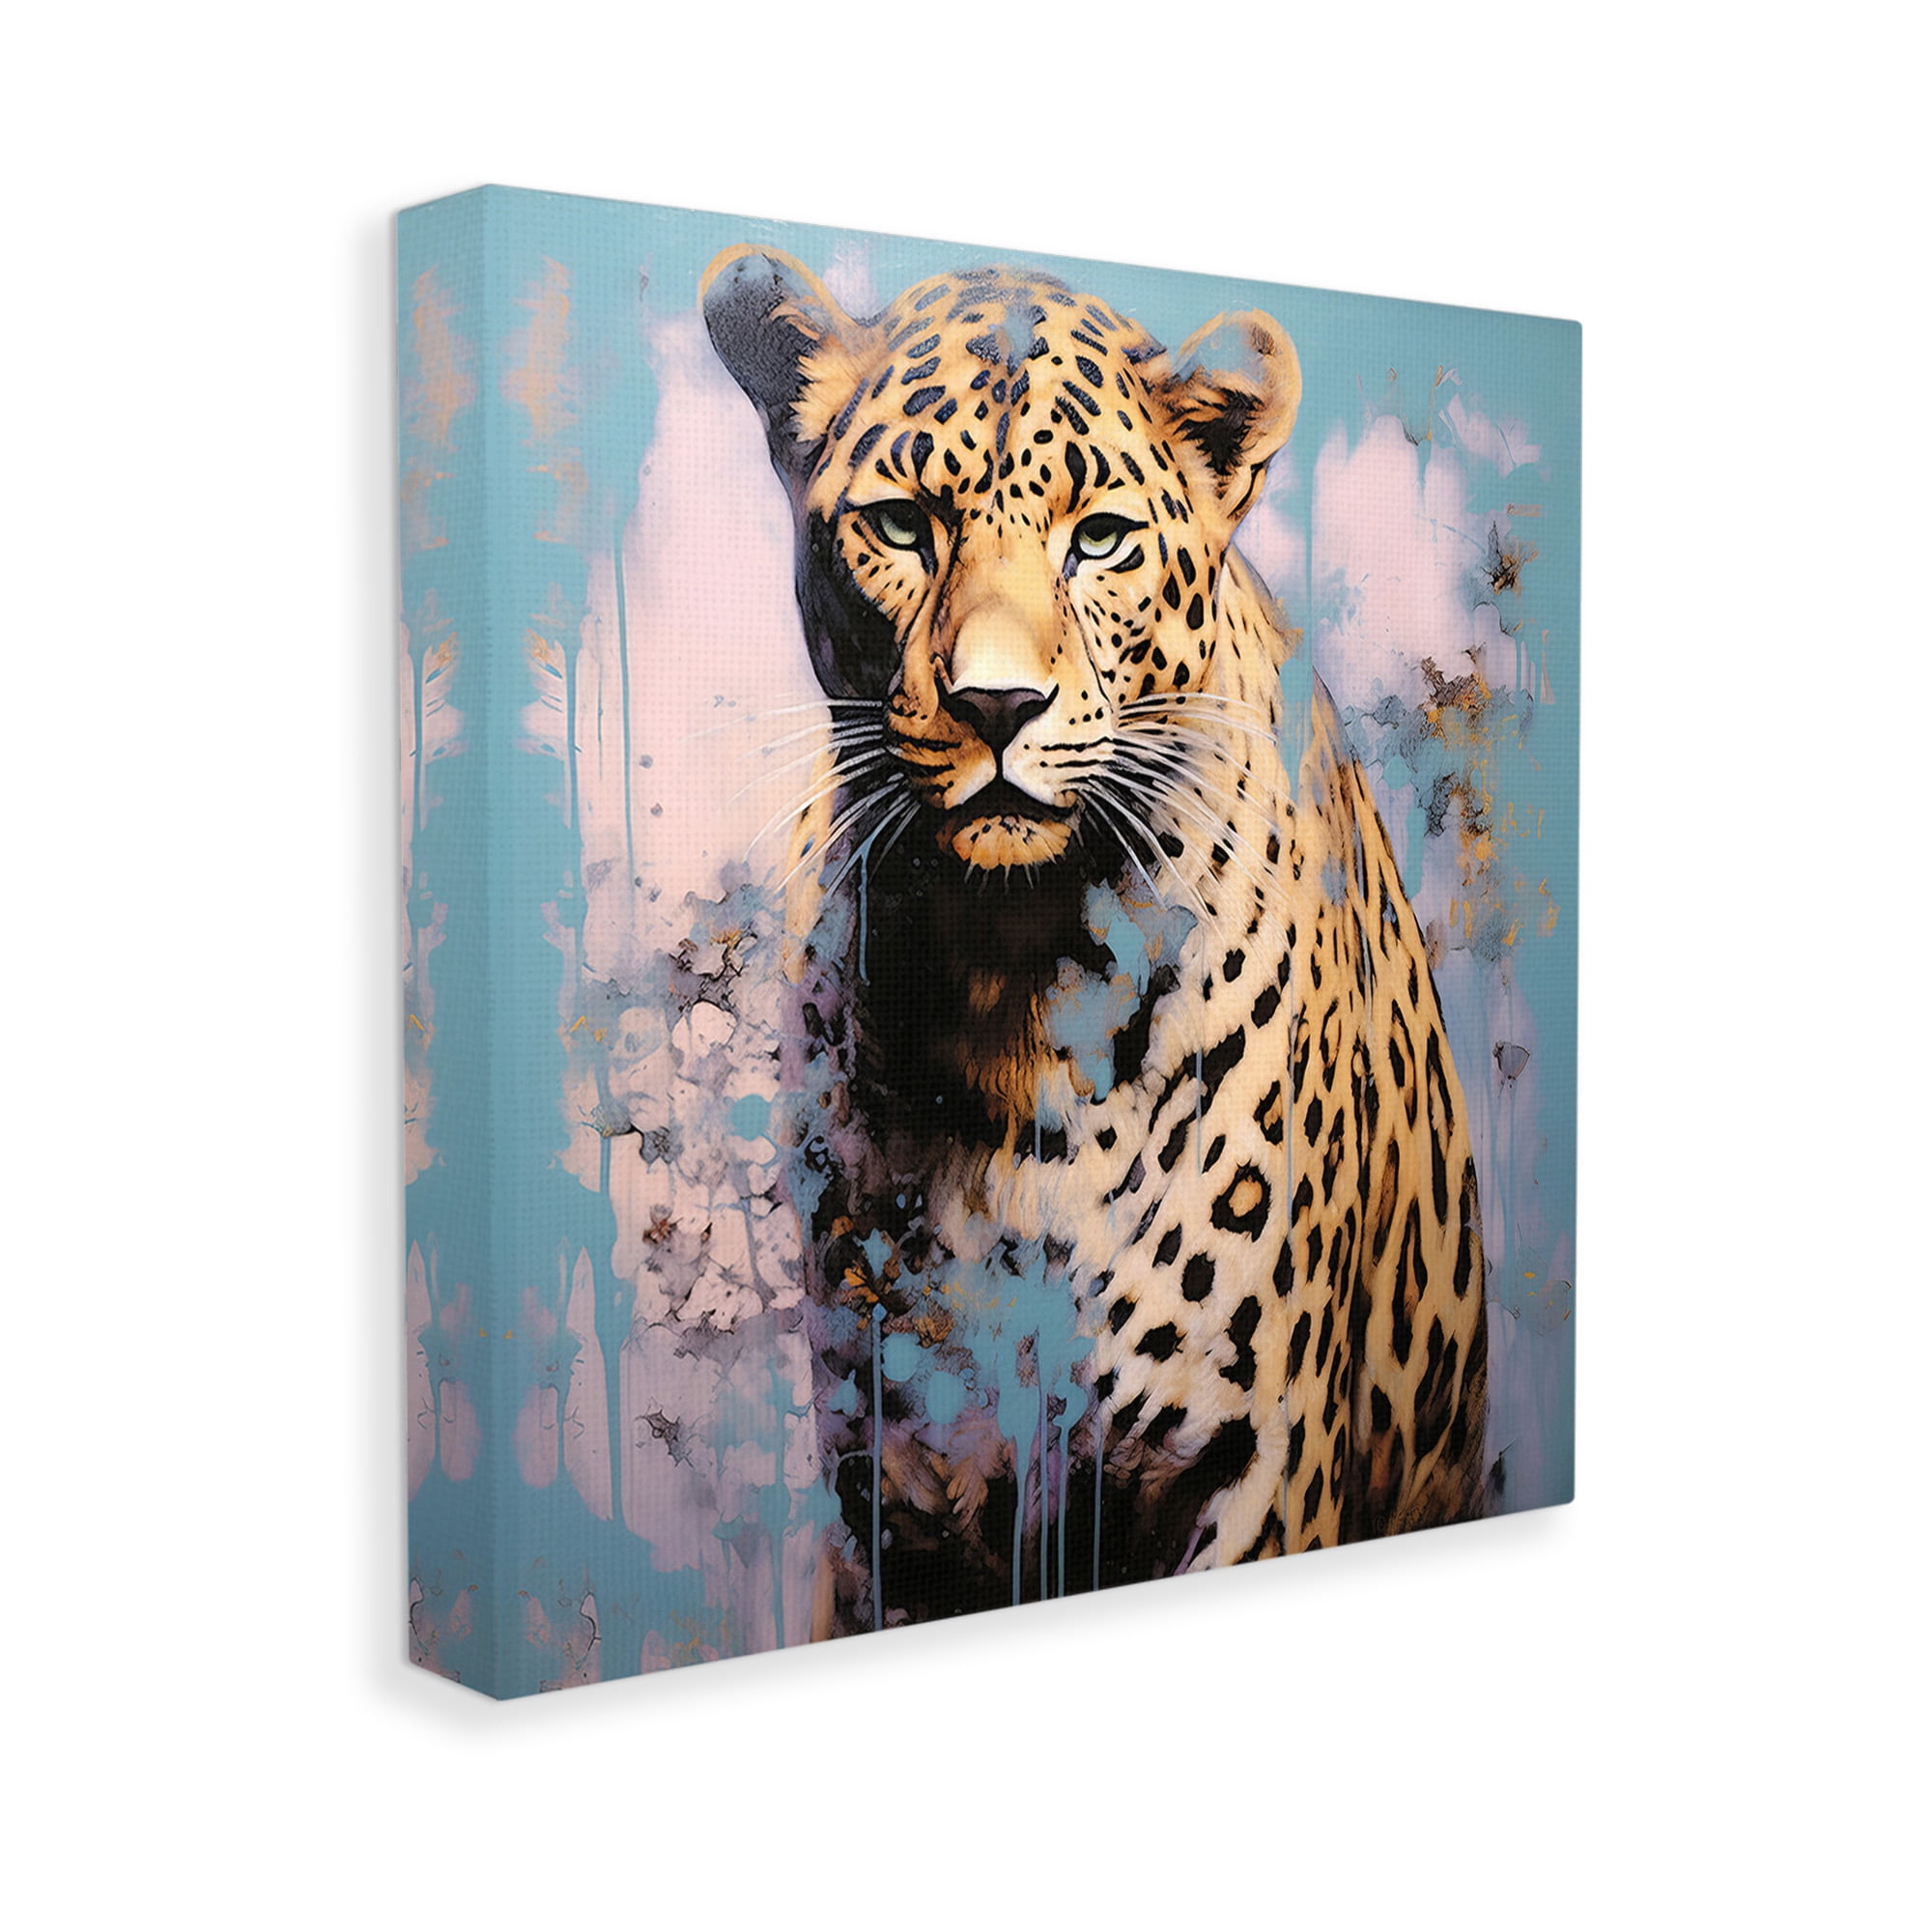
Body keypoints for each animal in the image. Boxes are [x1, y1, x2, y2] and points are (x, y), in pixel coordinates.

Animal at [702, 244, 1491, 1638]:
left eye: (1101, 539)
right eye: (902, 525)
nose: (996, 704)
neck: (1006, 977)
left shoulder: (1244, 1466)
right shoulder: (895, 1500)